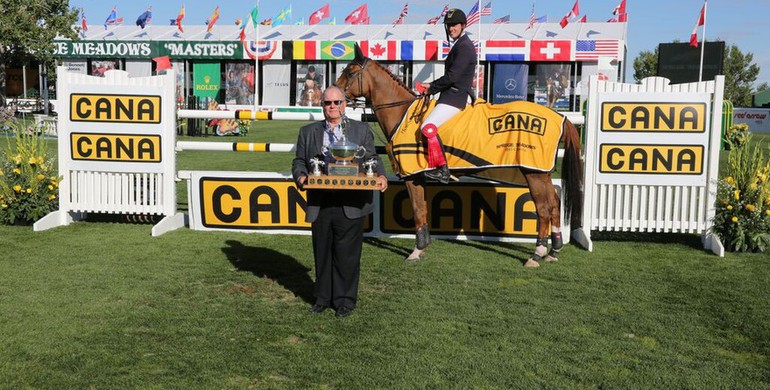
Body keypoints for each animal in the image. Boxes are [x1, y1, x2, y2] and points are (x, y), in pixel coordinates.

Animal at [336, 46, 584, 266]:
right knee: (554, 204)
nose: (332, 98)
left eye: (350, 72)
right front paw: (423, 247)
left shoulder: (412, 176)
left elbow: (417, 209)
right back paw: (553, 250)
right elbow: (423, 208)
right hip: (541, 173)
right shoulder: (420, 176)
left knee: (543, 208)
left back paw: (537, 254)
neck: (403, 114)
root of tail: (559, 117)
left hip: (533, 174)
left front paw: (416, 251)